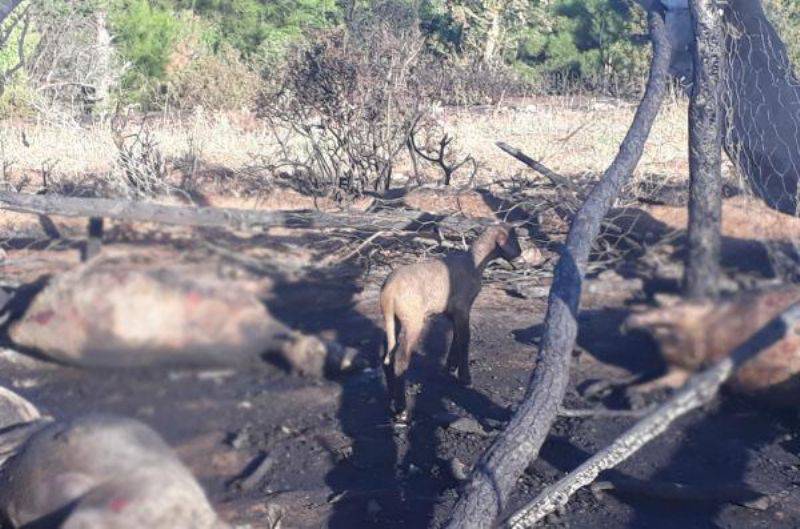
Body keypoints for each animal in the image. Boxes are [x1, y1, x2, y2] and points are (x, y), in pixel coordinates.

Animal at [378, 223, 520, 420]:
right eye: (514, 237)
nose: (520, 253)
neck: (474, 262)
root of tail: (388, 292)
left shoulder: (451, 312)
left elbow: (455, 337)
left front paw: (450, 367)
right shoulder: (463, 308)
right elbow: (465, 339)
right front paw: (465, 378)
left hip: (392, 320)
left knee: (386, 356)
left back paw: (392, 401)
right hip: (412, 321)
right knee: (400, 359)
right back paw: (402, 410)